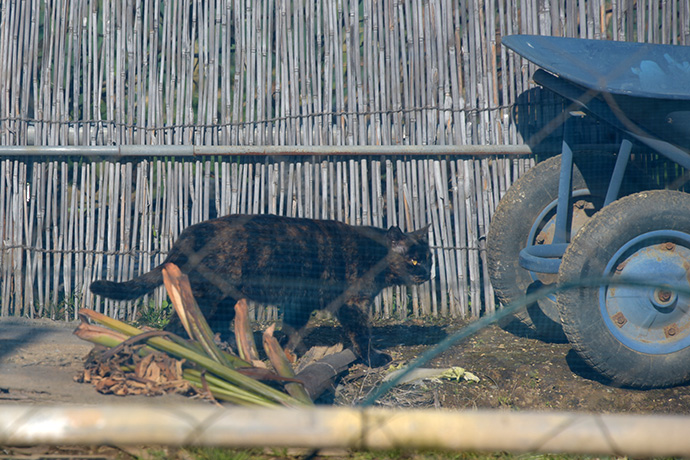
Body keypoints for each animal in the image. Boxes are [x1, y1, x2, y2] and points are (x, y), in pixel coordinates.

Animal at [88, 213, 428, 366]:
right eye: (413, 260)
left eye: (430, 259)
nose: (426, 273)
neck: (376, 254)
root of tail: (187, 233)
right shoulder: (353, 304)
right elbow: (361, 333)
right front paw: (374, 358)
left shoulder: (299, 302)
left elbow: (293, 329)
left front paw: (290, 355)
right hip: (206, 294)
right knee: (178, 324)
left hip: (226, 300)